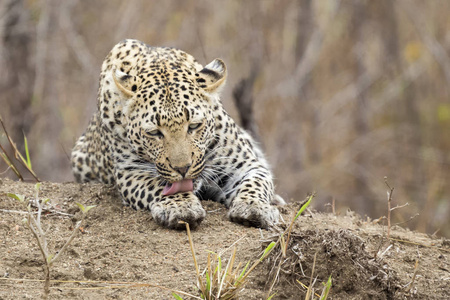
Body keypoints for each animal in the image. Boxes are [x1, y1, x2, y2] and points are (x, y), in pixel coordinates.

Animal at [73, 38, 284, 229]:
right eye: (154, 133)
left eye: (194, 126)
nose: (183, 169)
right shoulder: (130, 172)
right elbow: (159, 186)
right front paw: (181, 207)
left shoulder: (245, 164)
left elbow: (255, 183)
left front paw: (254, 208)